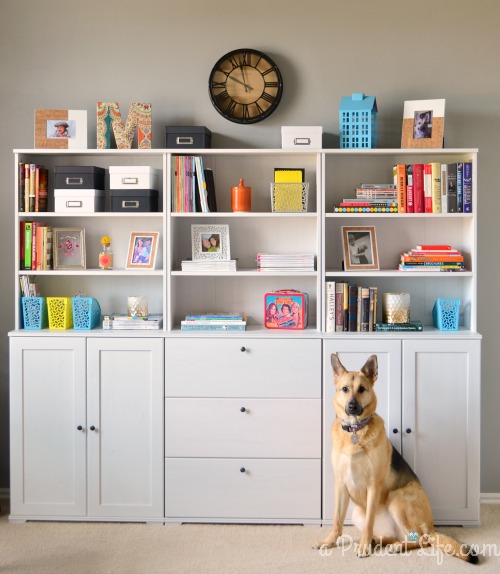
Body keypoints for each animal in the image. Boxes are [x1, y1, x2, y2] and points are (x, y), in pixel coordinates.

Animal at [314, 356, 478, 568]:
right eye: (345, 389)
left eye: (362, 389)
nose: (351, 407)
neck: (355, 431)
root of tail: (432, 527)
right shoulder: (341, 485)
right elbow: (336, 521)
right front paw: (329, 542)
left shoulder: (373, 486)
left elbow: (368, 523)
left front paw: (364, 548)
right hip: (358, 512)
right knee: (400, 536)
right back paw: (380, 541)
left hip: (396, 498)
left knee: (422, 539)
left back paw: (392, 545)